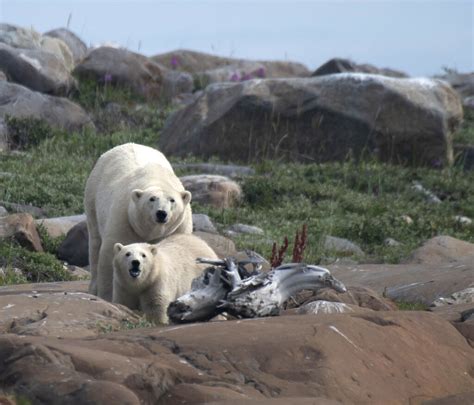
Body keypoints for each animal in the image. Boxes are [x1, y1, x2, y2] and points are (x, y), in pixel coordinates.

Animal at [84, 143, 192, 300]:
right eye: (152, 199)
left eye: (172, 200)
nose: (161, 213)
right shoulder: (124, 219)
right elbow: (111, 255)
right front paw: (109, 297)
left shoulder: (179, 227)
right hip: (93, 196)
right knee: (95, 242)